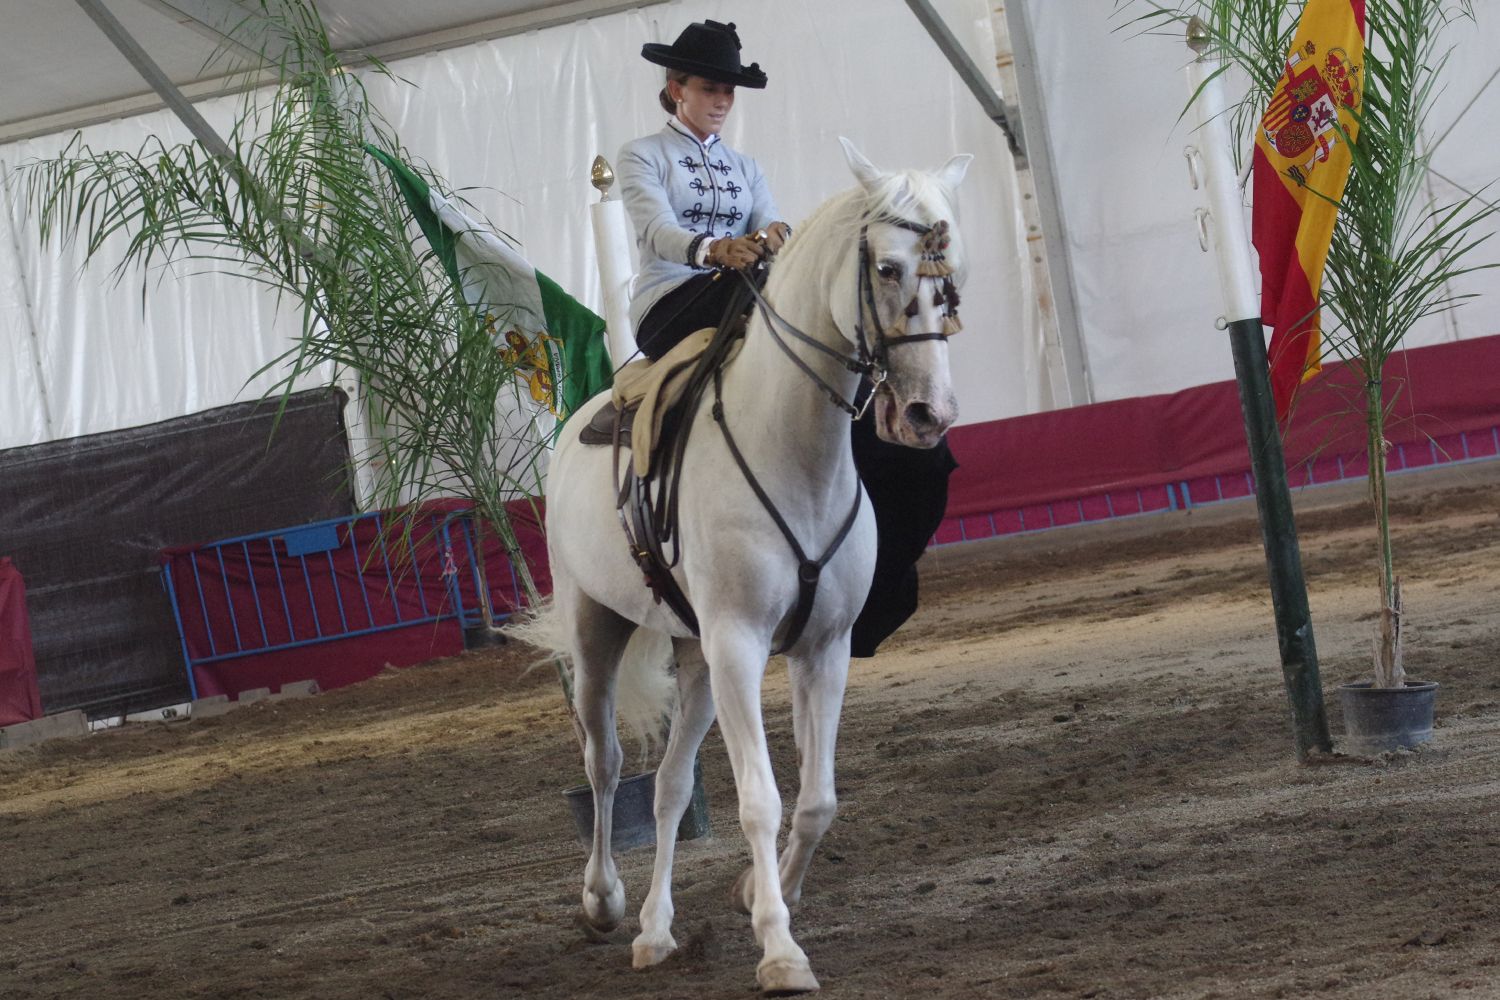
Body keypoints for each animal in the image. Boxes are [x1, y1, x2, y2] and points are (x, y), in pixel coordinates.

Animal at [540, 138, 972, 995]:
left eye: (953, 273)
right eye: (887, 267)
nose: (927, 415)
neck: (792, 451)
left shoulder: (823, 649)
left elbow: (817, 799)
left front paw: (758, 892)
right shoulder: (740, 645)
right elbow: (760, 801)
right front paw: (780, 949)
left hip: (695, 658)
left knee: (670, 789)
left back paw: (655, 932)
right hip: (597, 629)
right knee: (606, 765)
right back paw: (604, 900)